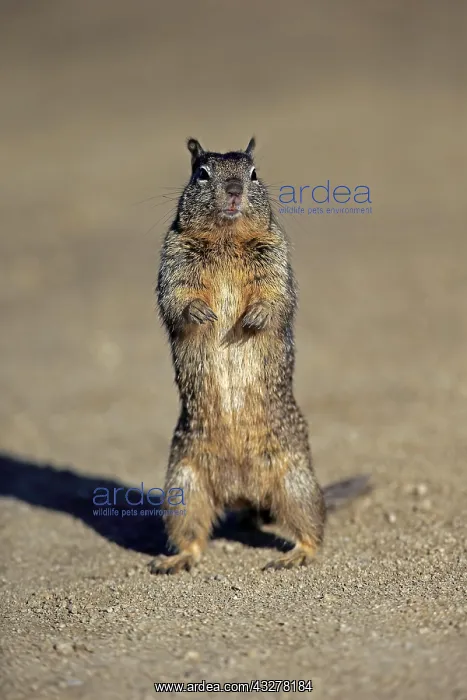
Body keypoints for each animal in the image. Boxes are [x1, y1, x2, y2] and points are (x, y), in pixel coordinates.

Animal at [149, 138, 370, 574]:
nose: (235, 190)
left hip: (295, 482)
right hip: (183, 486)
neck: (226, 238)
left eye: (253, 173)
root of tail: (241, 494)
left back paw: (296, 554)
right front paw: (201, 313)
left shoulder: (275, 256)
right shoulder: (173, 256)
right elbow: (176, 297)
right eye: (202, 173)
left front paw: (254, 317)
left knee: (311, 527)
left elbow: (275, 295)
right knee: (191, 533)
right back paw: (176, 559)